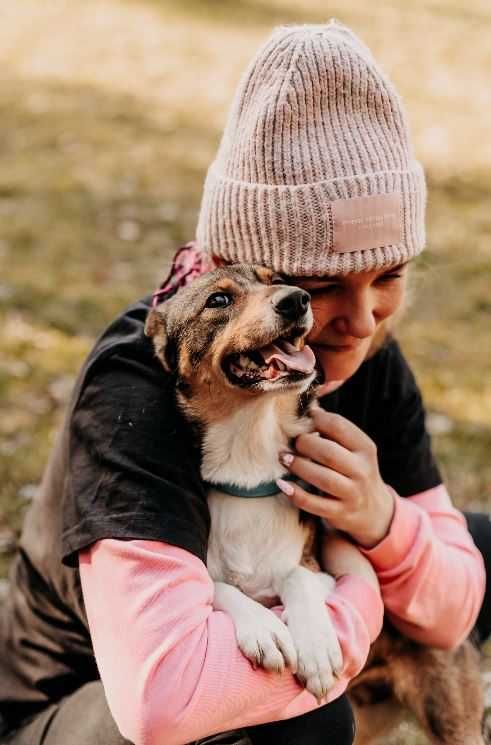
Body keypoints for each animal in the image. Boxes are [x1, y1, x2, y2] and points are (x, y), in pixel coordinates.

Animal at [146, 264, 344, 700]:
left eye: (276, 280)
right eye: (218, 300)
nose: (297, 299)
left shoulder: (318, 570)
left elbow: (298, 578)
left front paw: (317, 646)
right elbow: (219, 586)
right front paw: (263, 628)